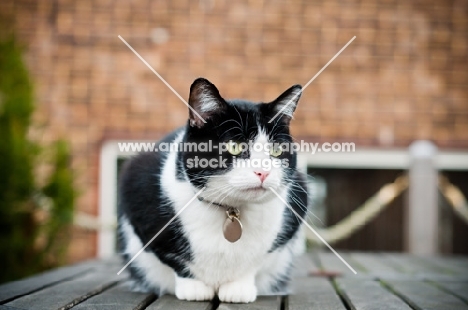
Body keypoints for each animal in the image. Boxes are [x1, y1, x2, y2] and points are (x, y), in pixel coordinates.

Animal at [118, 77, 308, 302]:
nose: (263, 172)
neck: (231, 210)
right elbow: (173, 257)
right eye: (235, 146)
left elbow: (256, 261)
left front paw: (238, 287)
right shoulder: (136, 192)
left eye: (276, 150)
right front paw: (194, 287)